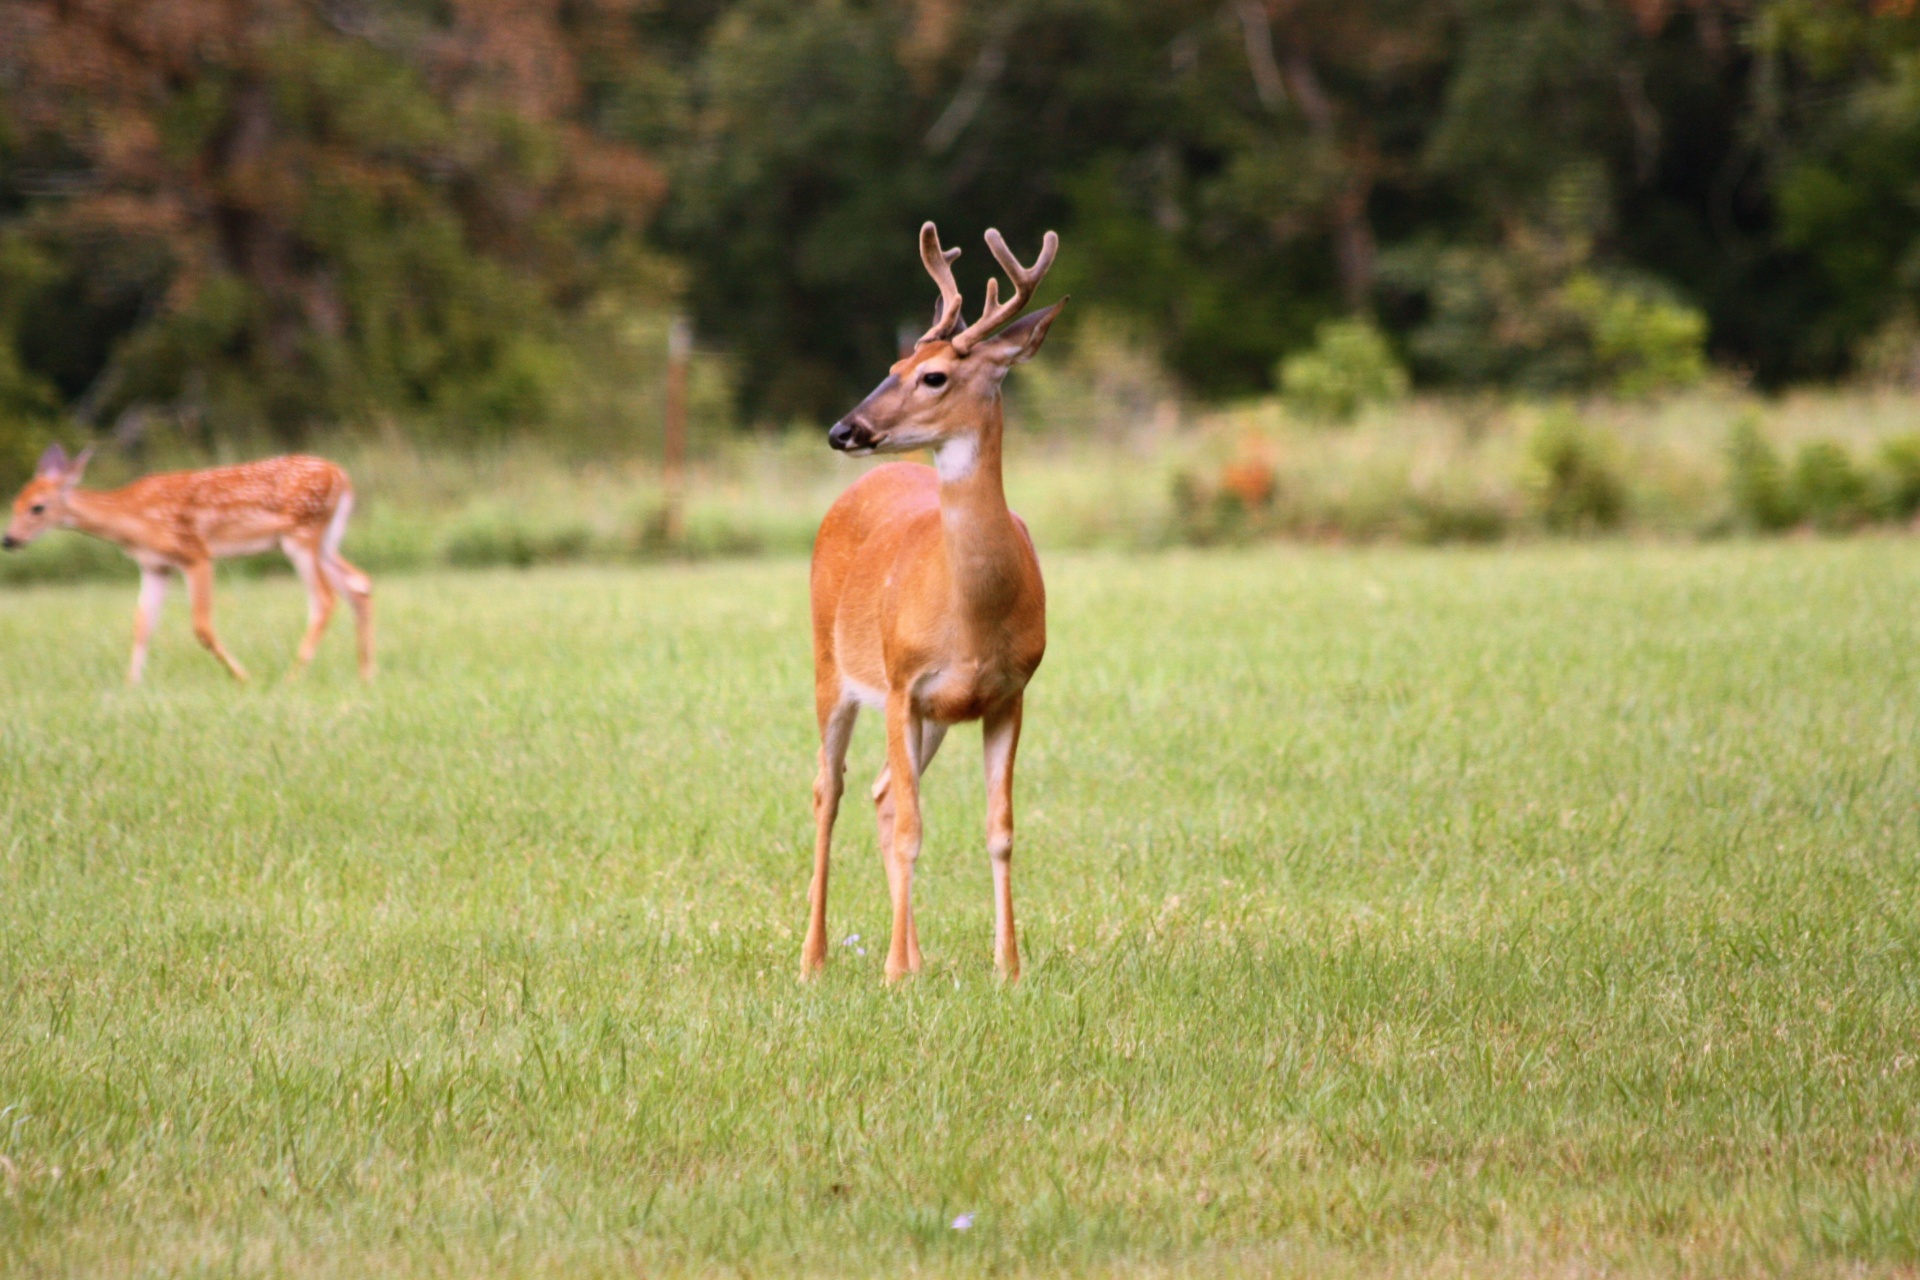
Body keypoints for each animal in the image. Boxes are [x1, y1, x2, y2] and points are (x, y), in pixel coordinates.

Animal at [2, 445, 374, 687]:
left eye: (37, 507)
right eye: (15, 501)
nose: (9, 539)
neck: (133, 519)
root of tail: (342, 475)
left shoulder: (195, 554)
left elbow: (201, 627)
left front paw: (243, 677)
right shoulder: (155, 566)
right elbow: (142, 625)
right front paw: (130, 685)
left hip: (300, 535)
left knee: (325, 598)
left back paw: (292, 677)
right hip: (323, 539)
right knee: (359, 583)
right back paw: (365, 675)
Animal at [798, 222, 1067, 982]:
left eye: (934, 375)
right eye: (894, 362)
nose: (843, 430)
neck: (971, 614)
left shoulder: (1008, 693)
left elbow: (999, 829)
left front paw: (1009, 968)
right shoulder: (900, 681)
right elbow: (916, 830)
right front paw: (892, 973)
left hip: (935, 718)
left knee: (884, 792)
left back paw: (915, 956)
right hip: (832, 671)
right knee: (830, 791)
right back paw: (816, 958)